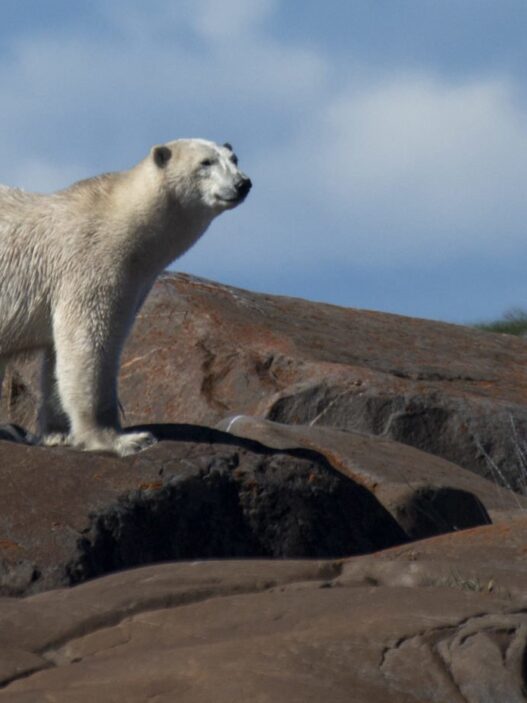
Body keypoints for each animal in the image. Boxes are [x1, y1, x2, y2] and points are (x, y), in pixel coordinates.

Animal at [0, 138, 254, 456]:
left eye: (234, 158)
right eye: (205, 162)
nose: (242, 183)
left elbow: (56, 359)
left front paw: (58, 434)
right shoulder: (91, 264)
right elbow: (88, 345)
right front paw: (122, 439)